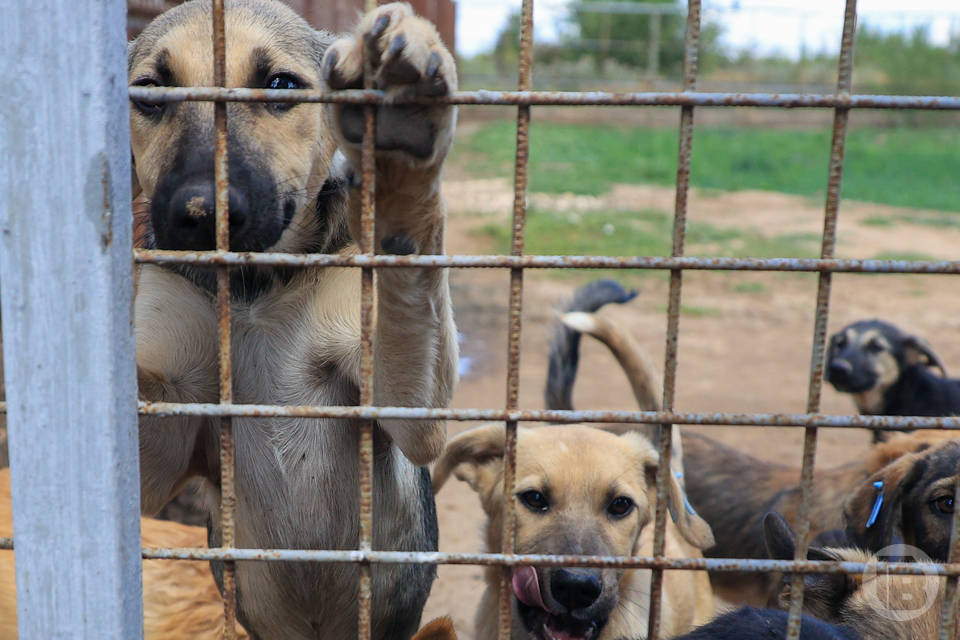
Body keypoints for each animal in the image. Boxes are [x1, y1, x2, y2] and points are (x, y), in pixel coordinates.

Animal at [130, 2, 458, 636]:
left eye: (280, 85)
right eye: (150, 93)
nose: (201, 213)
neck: (254, 289)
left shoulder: (409, 410)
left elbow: (408, 276)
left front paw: (399, 145)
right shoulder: (164, 429)